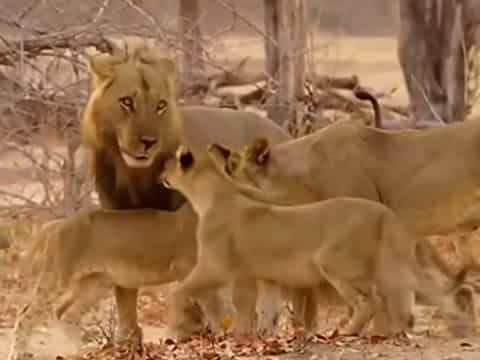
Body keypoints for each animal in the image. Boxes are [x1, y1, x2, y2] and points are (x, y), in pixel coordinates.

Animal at [8, 204, 235, 360]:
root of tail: (57, 224)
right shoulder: (188, 269)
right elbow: (214, 306)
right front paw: (223, 338)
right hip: (57, 278)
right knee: (26, 314)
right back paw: (18, 353)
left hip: (96, 283)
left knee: (67, 313)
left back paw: (80, 352)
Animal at [80, 39, 290, 344]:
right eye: (127, 102)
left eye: (160, 106)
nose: (148, 142)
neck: (134, 175)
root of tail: (283, 132)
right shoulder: (115, 215)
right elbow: (124, 286)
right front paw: (127, 339)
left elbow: (193, 285)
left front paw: (184, 331)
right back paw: (264, 327)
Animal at [159, 145, 474, 338]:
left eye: (169, 164)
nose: (161, 176)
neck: (211, 194)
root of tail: (385, 213)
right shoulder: (257, 274)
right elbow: (256, 307)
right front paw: (253, 336)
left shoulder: (213, 266)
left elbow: (180, 292)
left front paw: (174, 331)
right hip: (390, 266)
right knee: (413, 294)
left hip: (334, 262)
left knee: (369, 301)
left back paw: (349, 332)